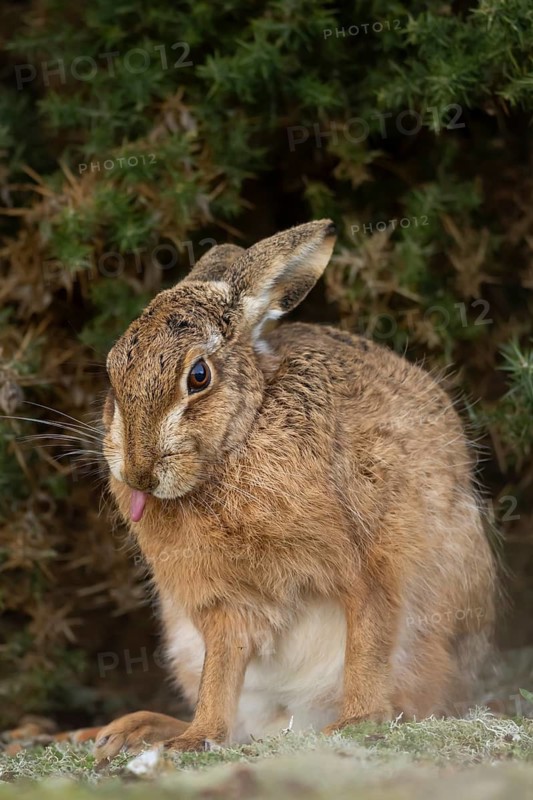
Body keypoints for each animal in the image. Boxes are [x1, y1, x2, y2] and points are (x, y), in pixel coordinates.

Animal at [93, 219, 496, 760]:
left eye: (198, 376)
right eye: (113, 374)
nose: (138, 473)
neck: (241, 439)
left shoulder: (370, 564)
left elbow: (368, 643)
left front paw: (357, 722)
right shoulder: (225, 602)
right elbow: (222, 671)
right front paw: (193, 739)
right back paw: (133, 730)